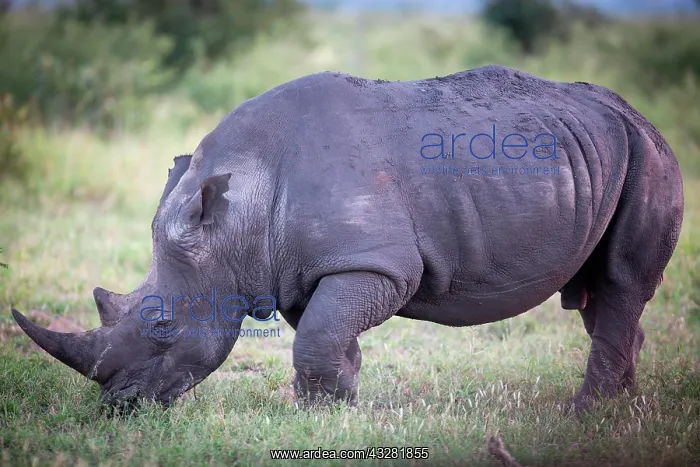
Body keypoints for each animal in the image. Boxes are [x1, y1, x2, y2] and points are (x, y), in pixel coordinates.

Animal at [11, 65, 683, 412]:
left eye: (161, 327)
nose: (117, 407)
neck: (235, 211)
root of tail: (640, 115)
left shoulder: (374, 263)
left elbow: (318, 334)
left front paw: (322, 411)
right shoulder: (300, 265)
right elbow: (323, 331)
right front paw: (339, 405)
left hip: (649, 155)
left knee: (620, 282)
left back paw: (587, 414)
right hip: (603, 153)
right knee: (596, 295)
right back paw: (621, 413)